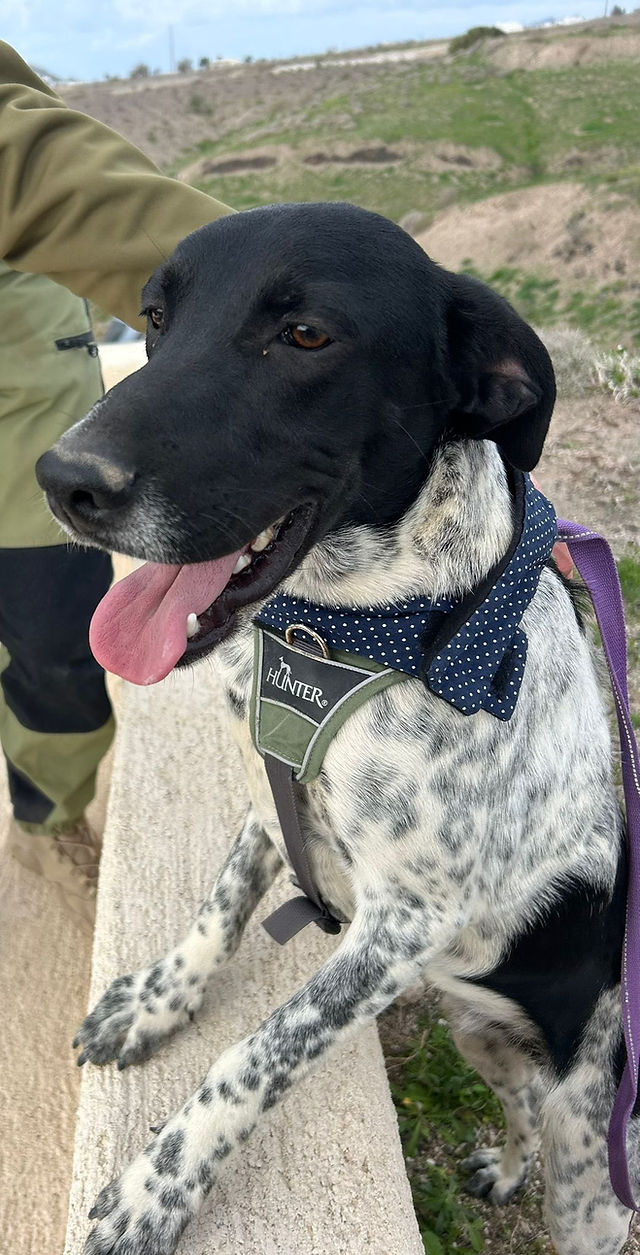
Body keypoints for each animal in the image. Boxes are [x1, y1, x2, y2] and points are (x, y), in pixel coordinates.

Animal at [36, 202, 633, 1255]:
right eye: (154, 316)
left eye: (306, 334)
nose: (62, 480)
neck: (353, 630)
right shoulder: (270, 794)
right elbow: (220, 906)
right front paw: (157, 999)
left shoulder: (400, 928)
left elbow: (255, 1053)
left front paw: (156, 1187)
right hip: (482, 1034)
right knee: (518, 1104)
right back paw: (500, 1166)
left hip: (587, 1166)